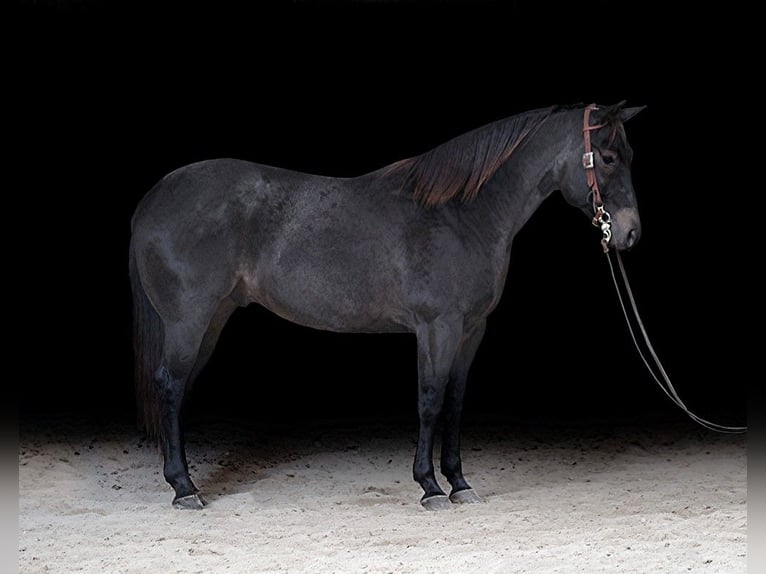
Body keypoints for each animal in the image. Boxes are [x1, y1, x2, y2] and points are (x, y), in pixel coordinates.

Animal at [132, 101, 648, 510]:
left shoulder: (471, 329)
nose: (628, 233)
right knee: (170, 387)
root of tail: (152, 200)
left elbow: (455, 401)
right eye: (607, 157)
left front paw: (460, 483)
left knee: (180, 390)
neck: (461, 214)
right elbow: (429, 400)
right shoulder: (437, 327)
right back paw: (184, 489)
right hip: (189, 321)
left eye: (628, 157)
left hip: (213, 319)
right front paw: (430, 487)